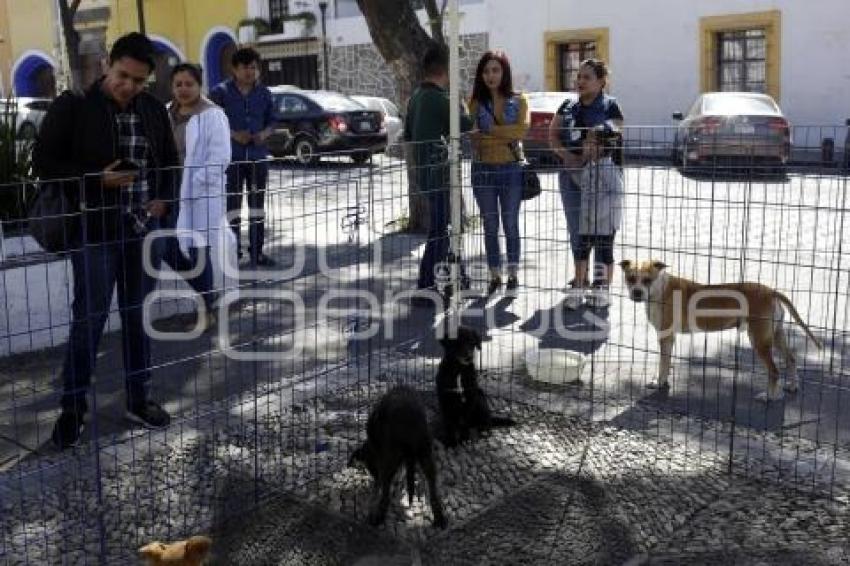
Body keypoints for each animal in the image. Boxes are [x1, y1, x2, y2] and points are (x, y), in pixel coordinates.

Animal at [346, 388, 448, 532]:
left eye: (370, 467)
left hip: (390, 460)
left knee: (385, 496)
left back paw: (377, 519)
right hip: (426, 454)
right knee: (433, 491)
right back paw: (440, 520)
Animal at [620, 262, 820, 404]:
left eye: (647, 280)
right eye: (630, 278)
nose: (637, 292)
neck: (659, 289)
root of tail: (771, 291)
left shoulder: (665, 335)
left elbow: (662, 363)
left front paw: (658, 382)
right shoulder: (669, 338)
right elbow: (666, 361)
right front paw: (663, 379)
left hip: (759, 340)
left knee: (774, 370)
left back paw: (769, 397)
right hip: (776, 335)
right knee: (791, 359)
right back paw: (793, 386)